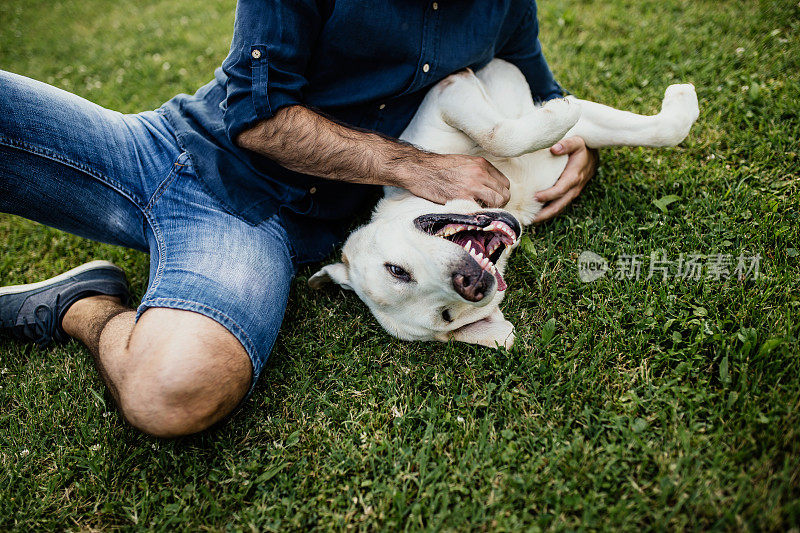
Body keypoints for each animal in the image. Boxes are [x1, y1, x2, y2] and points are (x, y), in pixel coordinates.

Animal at [310, 58, 696, 350]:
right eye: (446, 316)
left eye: (396, 270)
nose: (470, 283)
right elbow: (508, 133)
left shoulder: (446, 93)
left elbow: (503, 134)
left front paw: (680, 101)